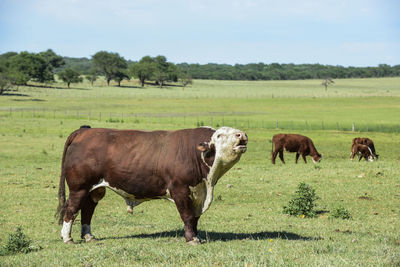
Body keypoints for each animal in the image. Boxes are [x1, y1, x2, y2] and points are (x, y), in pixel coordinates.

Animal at [55, 126, 247, 246]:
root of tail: (84, 132)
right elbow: (187, 216)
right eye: (219, 135)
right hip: (79, 187)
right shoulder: (180, 190)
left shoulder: (197, 193)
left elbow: (195, 218)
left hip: (95, 189)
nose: (242, 135)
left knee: (87, 209)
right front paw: (191, 239)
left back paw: (89, 236)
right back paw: (67, 238)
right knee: (71, 209)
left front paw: (196, 236)